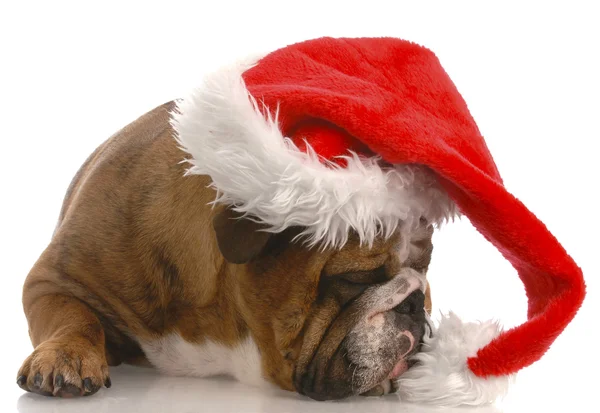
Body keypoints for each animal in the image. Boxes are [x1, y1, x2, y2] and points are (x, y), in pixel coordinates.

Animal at [16, 100, 434, 400]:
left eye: (425, 269)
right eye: (354, 277)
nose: (415, 303)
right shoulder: (51, 281)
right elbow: (73, 315)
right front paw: (66, 355)